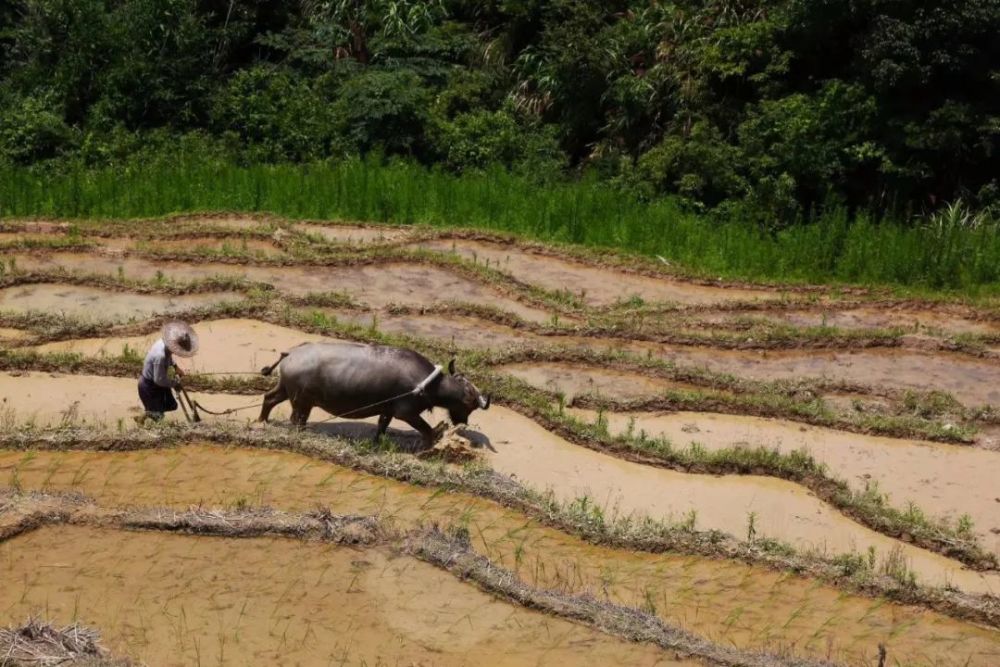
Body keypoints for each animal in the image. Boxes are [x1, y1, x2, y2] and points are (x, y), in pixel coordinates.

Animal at [258, 342, 492, 446]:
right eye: (471, 404)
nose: (463, 422)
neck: (430, 384)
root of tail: (291, 353)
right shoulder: (406, 413)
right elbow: (427, 430)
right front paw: (430, 446)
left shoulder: (387, 410)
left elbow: (382, 427)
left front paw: (377, 443)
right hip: (302, 401)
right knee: (296, 419)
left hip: (286, 390)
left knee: (269, 398)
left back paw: (262, 421)